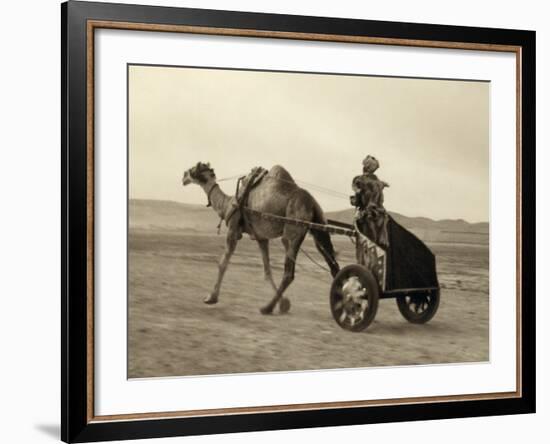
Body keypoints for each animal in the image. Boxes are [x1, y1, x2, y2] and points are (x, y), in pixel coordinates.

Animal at [182, 161, 340, 314]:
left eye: (192, 169)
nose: (183, 177)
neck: (227, 204)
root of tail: (312, 203)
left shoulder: (233, 229)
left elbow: (223, 264)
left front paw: (211, 297)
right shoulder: (261, 238)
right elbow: (267, 271)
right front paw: (283, 303)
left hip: (292, 230)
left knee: (289, 272)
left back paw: (267, 307)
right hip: (319, 227)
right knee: (333, 265)